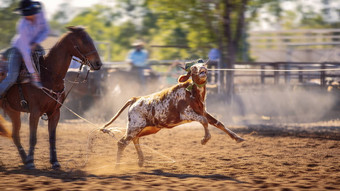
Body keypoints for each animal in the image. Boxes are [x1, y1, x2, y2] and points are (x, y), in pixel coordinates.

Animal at [0, 26, 101, 169]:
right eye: (84, 41)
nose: (98, 63)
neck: (48, 75)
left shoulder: (55, 112)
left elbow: (52, 137)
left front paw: (54, 161)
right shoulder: (35, 112)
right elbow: (33, 137)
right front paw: (31, 161)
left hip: (12, 111)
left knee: (15, 135)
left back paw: (24, 159)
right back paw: (26, 160)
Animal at [101, 60, 244, 167]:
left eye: (204, 65)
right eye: (194, 68)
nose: (202, 69)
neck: (192, 93)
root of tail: (135, 99)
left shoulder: (203, 111)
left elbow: (218, 123)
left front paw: (237, 138)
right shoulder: (186, 114)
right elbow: (203, 121)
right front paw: (205, 139)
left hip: (148, 128)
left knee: (135, 139)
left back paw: (141, 160)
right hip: (135, 126)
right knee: (122, 143)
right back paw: (117, 166)